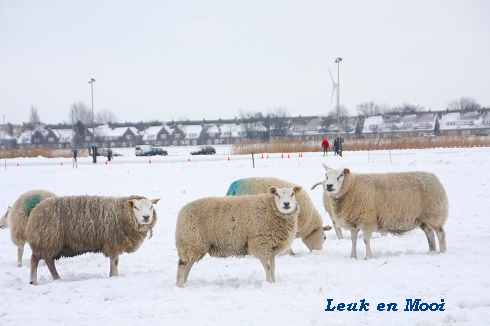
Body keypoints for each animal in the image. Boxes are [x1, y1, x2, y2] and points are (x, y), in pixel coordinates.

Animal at [25, 195, 159, 284]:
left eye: (151, 207)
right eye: (136, 207)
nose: (146, 217)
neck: (123, 214)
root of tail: (35, 210)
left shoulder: (113, 244)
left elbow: (115, 262)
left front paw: (113, 275)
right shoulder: (113, 243)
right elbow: (114, 262)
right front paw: (114, 276)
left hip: (50, 243)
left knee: (49, 261)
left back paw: (57, 278)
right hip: (46, 240)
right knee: (35, 260)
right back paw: (34, 281)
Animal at [314, 166, 448, 260]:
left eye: (340, 176)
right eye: (326, 176)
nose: (329, 186)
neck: (352, 187)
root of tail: (434, 178)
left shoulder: (367, 220)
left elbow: (365, 240)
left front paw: (368, 257)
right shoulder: (354, 223)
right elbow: (353, 241)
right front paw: (353, 257)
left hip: (434, 215)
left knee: (440, 234)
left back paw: (441, 252)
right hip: (423, 219)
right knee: (430, 234)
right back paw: (431, 251)